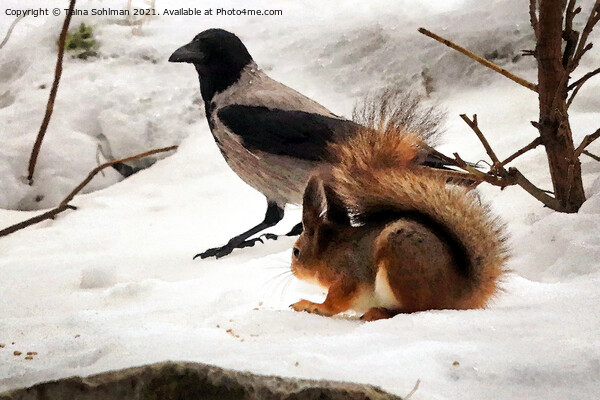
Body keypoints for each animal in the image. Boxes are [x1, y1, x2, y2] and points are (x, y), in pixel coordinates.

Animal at [290, 126, 506, 320]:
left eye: (296, 252)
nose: (292, 271)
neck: (328, 251)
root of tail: (458, 295)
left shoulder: (348, 274)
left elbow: (336, 301)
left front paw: (312, 306)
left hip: (399, 259)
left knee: (412, 309)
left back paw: (377, 312)